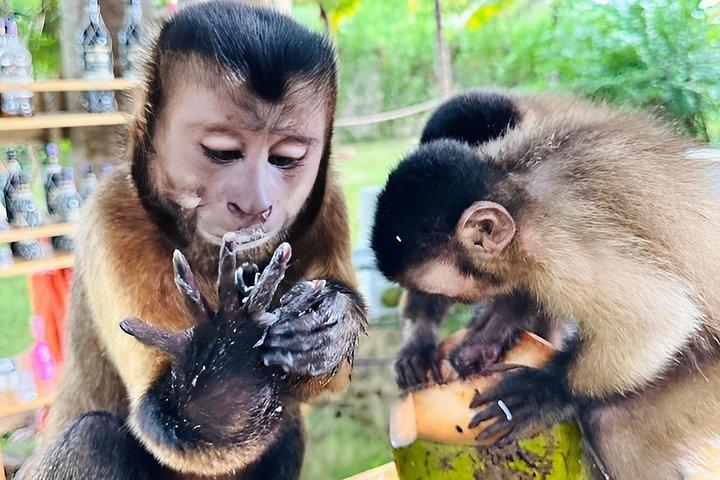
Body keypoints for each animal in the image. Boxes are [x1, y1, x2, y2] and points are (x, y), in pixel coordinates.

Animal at [20, 2, 367, 479]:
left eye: (285, 159)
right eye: (221, 153)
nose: (254, 205)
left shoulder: (327, 199)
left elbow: (329, 381)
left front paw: (330, 321)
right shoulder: (112, 216)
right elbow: (168, 419)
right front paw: (230, 363)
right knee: (93, 436)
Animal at [371, 90, 720, 478]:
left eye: (443, 291)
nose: (426, 300)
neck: (519, 189)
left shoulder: (554, 247)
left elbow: (660, 317)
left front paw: (549, 390)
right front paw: (426, 342)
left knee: (613, 422)